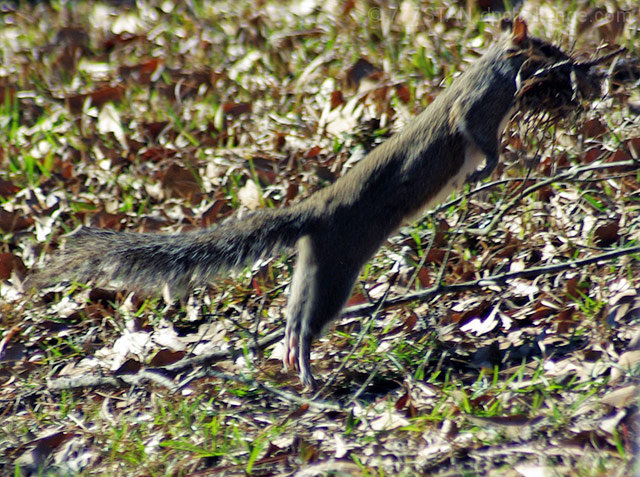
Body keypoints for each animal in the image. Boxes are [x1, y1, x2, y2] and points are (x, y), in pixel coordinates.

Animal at [31, 19, 620, 390]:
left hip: (312, 265)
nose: (576, 64)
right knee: (310, 321)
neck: (492, 70)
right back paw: (308, 371)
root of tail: (313, 214)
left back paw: (294, 360)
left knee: (294, 318)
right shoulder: (476, 106)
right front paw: (490, 166)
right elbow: (476, 133)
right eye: (543, 48)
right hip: (337, 267)